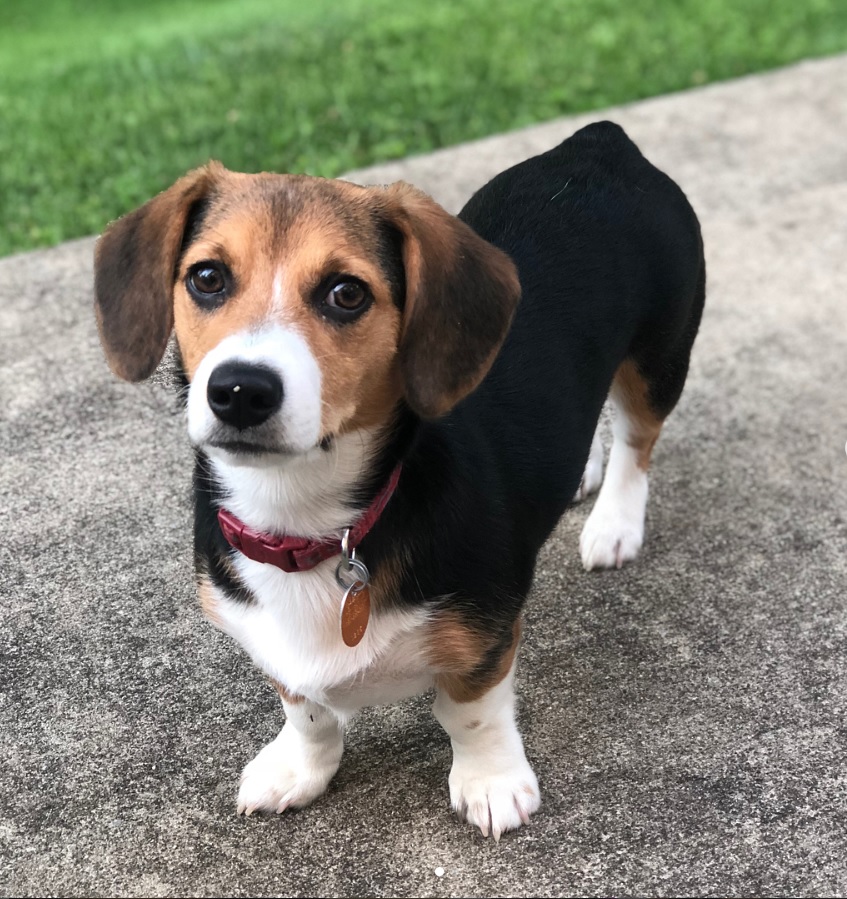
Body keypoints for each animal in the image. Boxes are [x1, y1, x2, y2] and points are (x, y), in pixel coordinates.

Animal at [93, 123, 704, 840]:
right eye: (207, 277)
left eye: (346, 292)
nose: (240, 390)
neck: (305, 518)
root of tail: (601, 142)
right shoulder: (275, 650)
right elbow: (306, 711)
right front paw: (299, 768)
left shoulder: (485, 634)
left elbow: (470, 712)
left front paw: (490, 780)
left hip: (658, 360)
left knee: (637, 439)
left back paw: (615, 524)